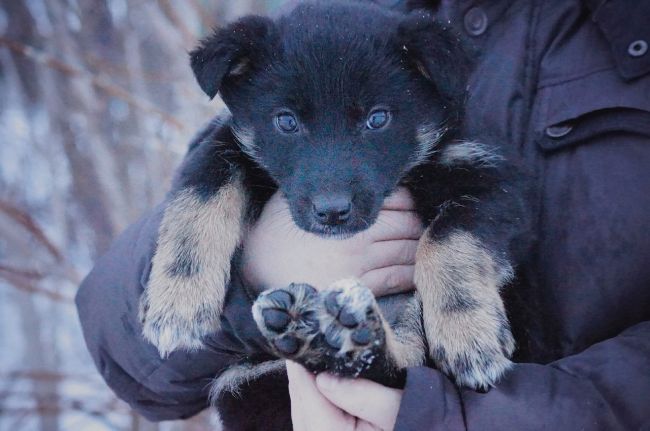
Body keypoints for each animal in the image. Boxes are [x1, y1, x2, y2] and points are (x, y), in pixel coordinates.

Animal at [139, 1, 528, 394]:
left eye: (378, 118)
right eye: (286, 121)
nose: (332, 212)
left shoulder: (488, 176)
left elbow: (447, 239)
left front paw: (467, 330)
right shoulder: (224, 146)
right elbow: (198, 201)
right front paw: (177, 299)